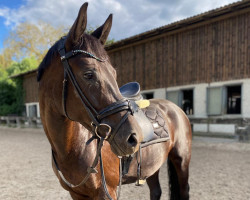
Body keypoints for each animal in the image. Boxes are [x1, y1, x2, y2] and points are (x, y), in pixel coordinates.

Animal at [38, 2, 192, 200]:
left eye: (114, 73)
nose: (133, 137)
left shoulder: (107, 191)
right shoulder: (76, 193)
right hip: (151, 166)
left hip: (182, 161)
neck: (72, 147)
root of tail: (175, 109)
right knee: (156, 191)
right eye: (89, 74)